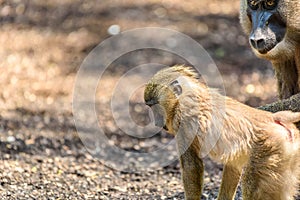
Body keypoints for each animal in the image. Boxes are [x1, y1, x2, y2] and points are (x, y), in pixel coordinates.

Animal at [144, 66, 300, 200]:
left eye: (154, 106)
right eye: (149, 107)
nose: (156, 122)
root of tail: (276, 119)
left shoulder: (183, 122)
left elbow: (191, 167)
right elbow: (233, 165)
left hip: (268, 149)